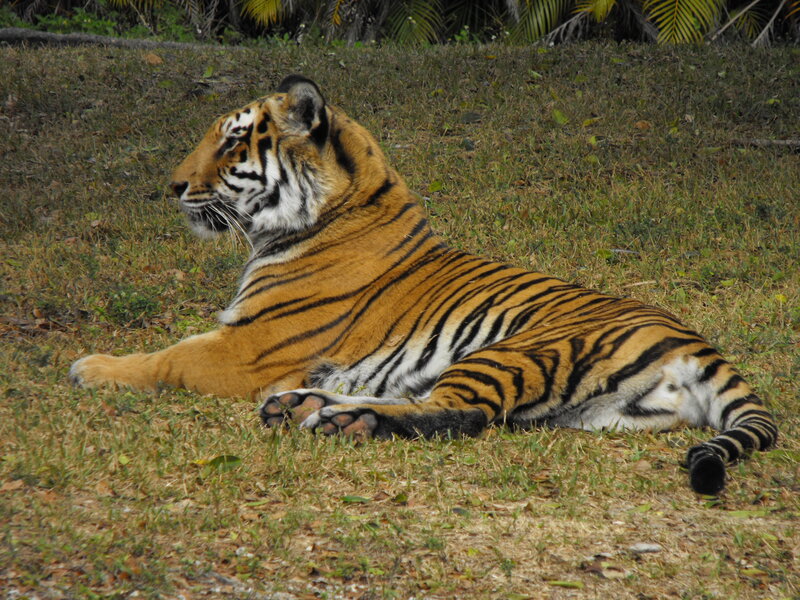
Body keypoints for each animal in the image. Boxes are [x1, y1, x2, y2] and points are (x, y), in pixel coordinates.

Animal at [70, 74, 778, 495]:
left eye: (233, 143)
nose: (172, 186)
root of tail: (694, 340)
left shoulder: (245, 349)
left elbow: (167, 358)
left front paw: (90, 366)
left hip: (512, 350)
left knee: (460, 412)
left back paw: (340, 418)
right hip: (600, 415)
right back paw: (304, 405)